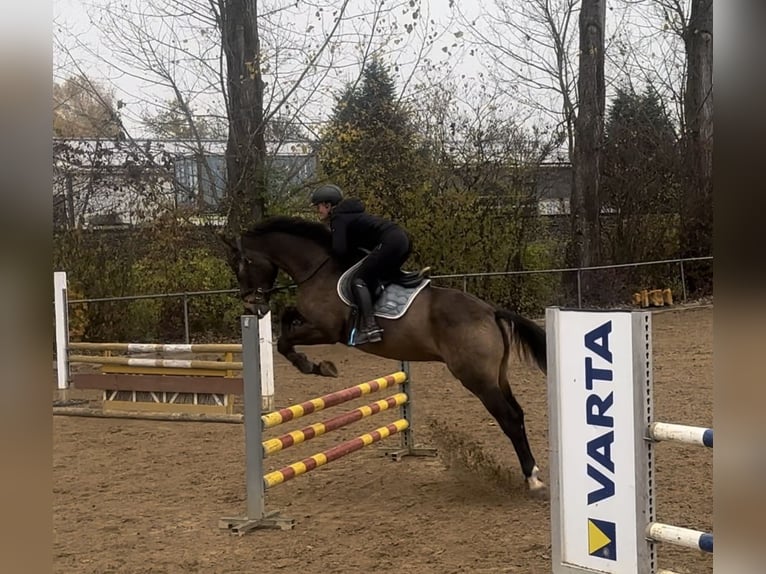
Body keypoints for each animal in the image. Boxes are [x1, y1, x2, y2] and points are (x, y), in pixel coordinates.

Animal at [224, 216, 552, 496]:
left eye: (240, 265)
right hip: (497, 375)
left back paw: (533, 479)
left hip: (476, 378)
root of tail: (490, 311)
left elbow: (284, 341)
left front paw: (317, 366)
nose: (253, 307)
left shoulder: (326, 329)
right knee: (518, 413)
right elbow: (287, 318)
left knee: (509, 418)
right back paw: (533, 473)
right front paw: (318, 363)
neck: (318, 268)